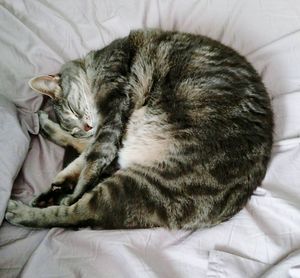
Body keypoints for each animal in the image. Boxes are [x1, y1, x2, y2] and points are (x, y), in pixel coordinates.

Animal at [4, 29, 274, 229]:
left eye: (72, 108)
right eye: (73, 124)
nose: (85, 127)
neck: (95, 64)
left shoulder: (113, 106)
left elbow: (95, 155)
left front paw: (75, 186)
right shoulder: (111, 124)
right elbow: (90, 152)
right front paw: (67, 175)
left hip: (140, 184)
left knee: (77, 214)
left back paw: (30, 208)